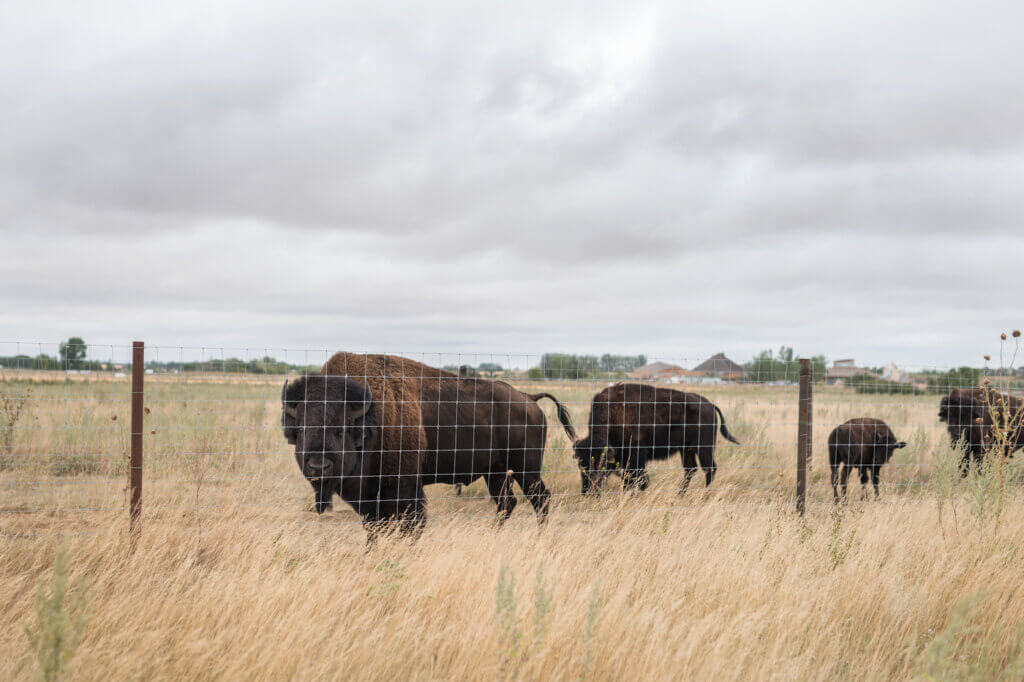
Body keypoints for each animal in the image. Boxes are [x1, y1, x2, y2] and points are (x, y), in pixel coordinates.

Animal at [284, 350, 577, 536]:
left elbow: (409, 522)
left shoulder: (402, 486)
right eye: (301, 428)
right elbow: (375, 525)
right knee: (507, 502)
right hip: (495, 471)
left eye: (341, 429)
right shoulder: (370, 494)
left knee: (540, 499)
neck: (368, 417)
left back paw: (539, 538)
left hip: (527, 468)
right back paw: (492, 534)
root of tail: (528, 398)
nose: (318, 466)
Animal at [573, 382, 741, 493]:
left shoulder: (636, 455)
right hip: (686, 449)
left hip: (703, 448)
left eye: (599, 464)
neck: (613, 414)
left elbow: (635, 478)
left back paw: (705, 495)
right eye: (581, 464)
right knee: (690, 469)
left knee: (709, 469)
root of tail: (710, 405)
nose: (587, 491)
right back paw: (680, 494)